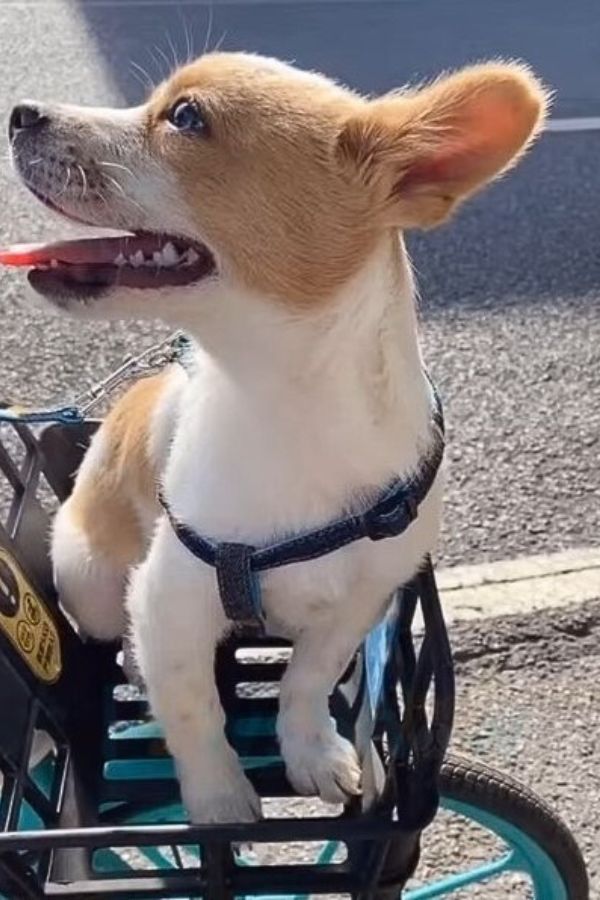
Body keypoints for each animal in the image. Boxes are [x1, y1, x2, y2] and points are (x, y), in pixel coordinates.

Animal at [5, 51, 548, 824]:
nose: (20, 112)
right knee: (127, 637)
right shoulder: (170, 599)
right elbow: (195, 710)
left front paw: (310, 750)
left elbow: (307, 680)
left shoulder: (361, 601)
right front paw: (218, 801)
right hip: (89, 581)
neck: (282, 403)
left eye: (186, 117)